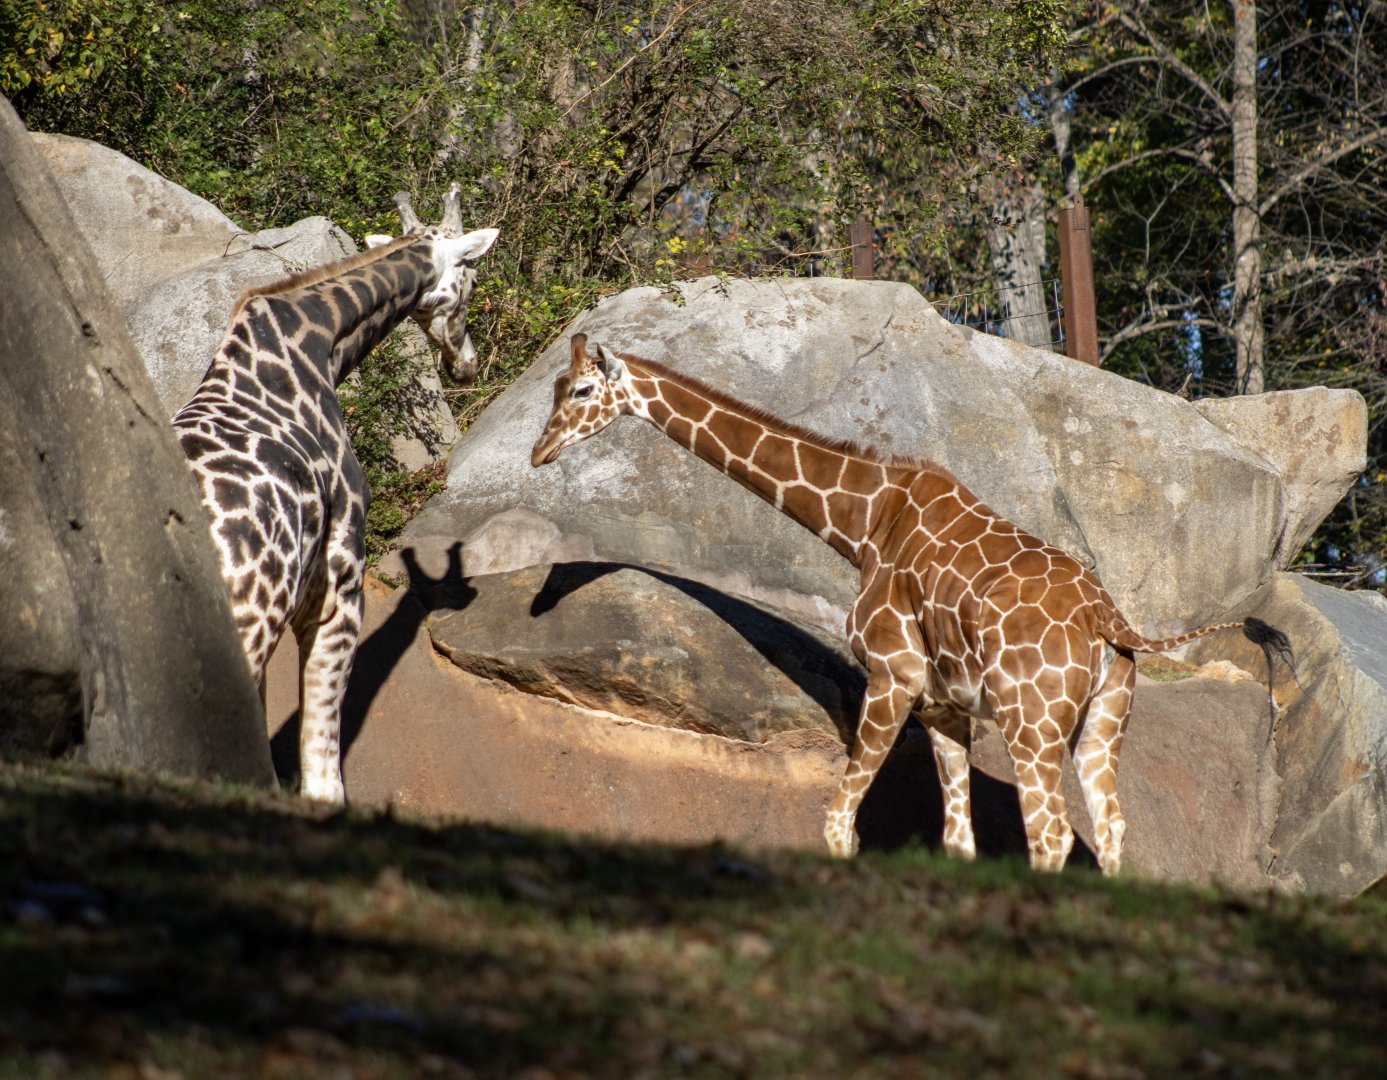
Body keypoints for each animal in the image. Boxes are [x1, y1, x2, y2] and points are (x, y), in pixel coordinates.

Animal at [531, 333, 1292, 874]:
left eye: (583, 389)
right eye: (555, 389)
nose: (538, 453)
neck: (866, 522)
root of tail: (1107, 619)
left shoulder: (891, 676)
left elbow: (838, 821)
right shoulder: (943, 707)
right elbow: (958, 843)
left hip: (1033, 724)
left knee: (1049, 835)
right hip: (1101, 723)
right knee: (1108, 831)